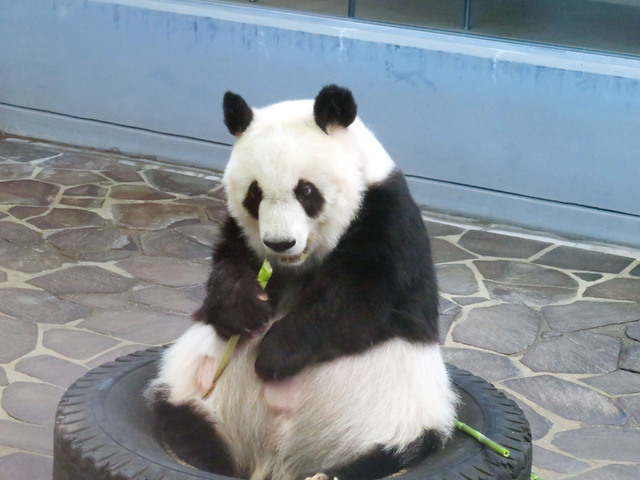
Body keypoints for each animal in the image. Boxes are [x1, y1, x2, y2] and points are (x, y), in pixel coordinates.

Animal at [146, 84, 456, 480]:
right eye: (255, 194)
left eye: (306, 191)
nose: (280, 243)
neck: (299, 262)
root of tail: (273, 458)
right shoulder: (243, 234)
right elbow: (229, 267)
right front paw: (244, 309)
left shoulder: (388, 215)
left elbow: (362, 300)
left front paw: (274, 355)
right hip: (188, 385)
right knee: (182, 419)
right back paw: (199, 451)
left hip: (399, 412)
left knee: (393, 451)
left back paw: (334, 471)